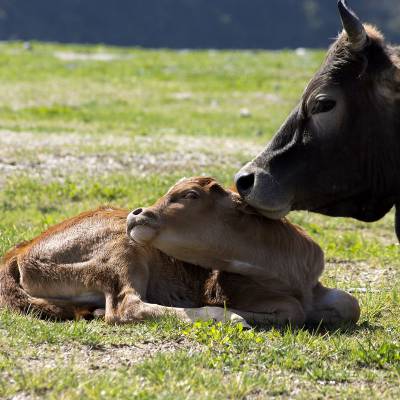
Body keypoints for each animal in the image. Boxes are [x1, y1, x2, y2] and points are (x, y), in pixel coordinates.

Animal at [0, 177, 360, 326]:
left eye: (189, 195)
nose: (137, 213)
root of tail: (18, 252)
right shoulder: (228, 287)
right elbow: (292, 311)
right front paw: (240, 315)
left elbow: (350, 303)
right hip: (124, 250)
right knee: (127, 307)